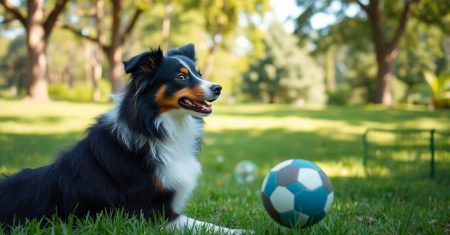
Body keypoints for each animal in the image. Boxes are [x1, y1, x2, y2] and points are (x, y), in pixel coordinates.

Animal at [0, 44, 243, 233]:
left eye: (199, 75)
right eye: (181, 77)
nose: (218, 88)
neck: (155, 125)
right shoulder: (151, 212)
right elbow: (208, 226)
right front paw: (242, 230)